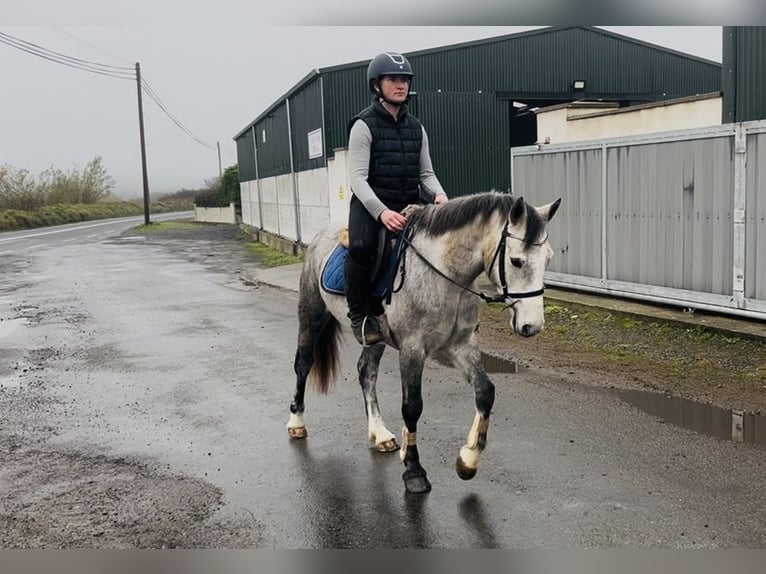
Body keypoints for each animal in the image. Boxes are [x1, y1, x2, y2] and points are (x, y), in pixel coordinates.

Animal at [287, 190, 561, 494]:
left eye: (548, 259)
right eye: (516, 261)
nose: (532, 326)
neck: (444, 272)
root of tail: (320, 236)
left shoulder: (459, 346)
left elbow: (485, 392)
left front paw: (468, 461)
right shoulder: (412, 349)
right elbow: (412, 407)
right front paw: (414, 470)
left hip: (375, 338)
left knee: (366, 372)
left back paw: (379, 433)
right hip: (312, 314)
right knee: (303, 363)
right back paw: (297, 423)